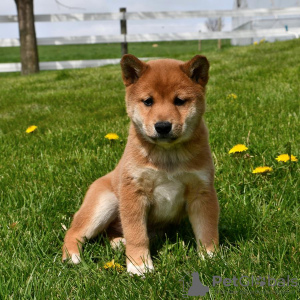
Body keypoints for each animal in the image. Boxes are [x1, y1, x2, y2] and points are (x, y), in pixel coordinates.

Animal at [62, 53, 219, 274]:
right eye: (148, 101)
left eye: (179, 101)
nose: (163, 126)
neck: (168, 156)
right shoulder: (134, 192)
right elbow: (137, 235)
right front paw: (139, 266)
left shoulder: (202, 191)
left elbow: (207, 230)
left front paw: (211, 258)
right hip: (104, 204)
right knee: (74, 232)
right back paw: (72, 256)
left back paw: (119, 243)